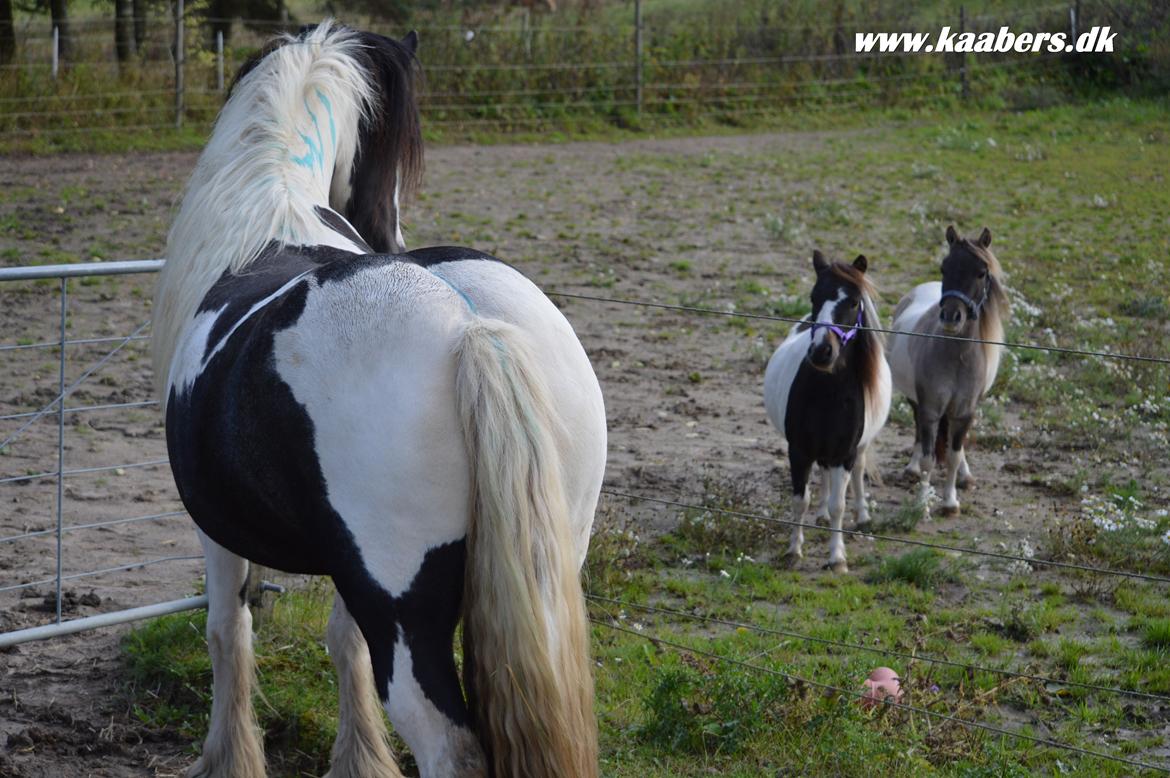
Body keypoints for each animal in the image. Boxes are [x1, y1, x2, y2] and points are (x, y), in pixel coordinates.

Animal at [152, 21, 608, 772]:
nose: (388, 231)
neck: (270, 219)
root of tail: (471, 329)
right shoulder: (347, 568)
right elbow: (344, 645)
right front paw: (359, 757)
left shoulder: (216, 531)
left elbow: (227, 633)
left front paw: (230, 756)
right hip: (542, 582)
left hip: (405, 612)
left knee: (450, 746)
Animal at [762, 251, 889, 573]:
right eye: (813, 296)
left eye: (854, 302)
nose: (821, 352)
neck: (829, 396)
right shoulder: (798, 450)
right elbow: (801, 501)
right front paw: (793, 551)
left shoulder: (845, 453)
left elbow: (838, 505)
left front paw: (837, 558)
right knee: (823, 475)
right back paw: (819, 515)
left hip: (858, 448)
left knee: (857, 472)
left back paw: (863, 517)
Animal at [884, 223, 1006, 514]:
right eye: (944, 268)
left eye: (981, 272)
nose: (951, 316)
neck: (956, 358)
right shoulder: (930, 410)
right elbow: (929, 457)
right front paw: (921, 503)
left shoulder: (964, 413)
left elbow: (953, 454)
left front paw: (951, 502)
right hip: (916, 402)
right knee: (918, 431)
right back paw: (911, 469)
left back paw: (966, 476)